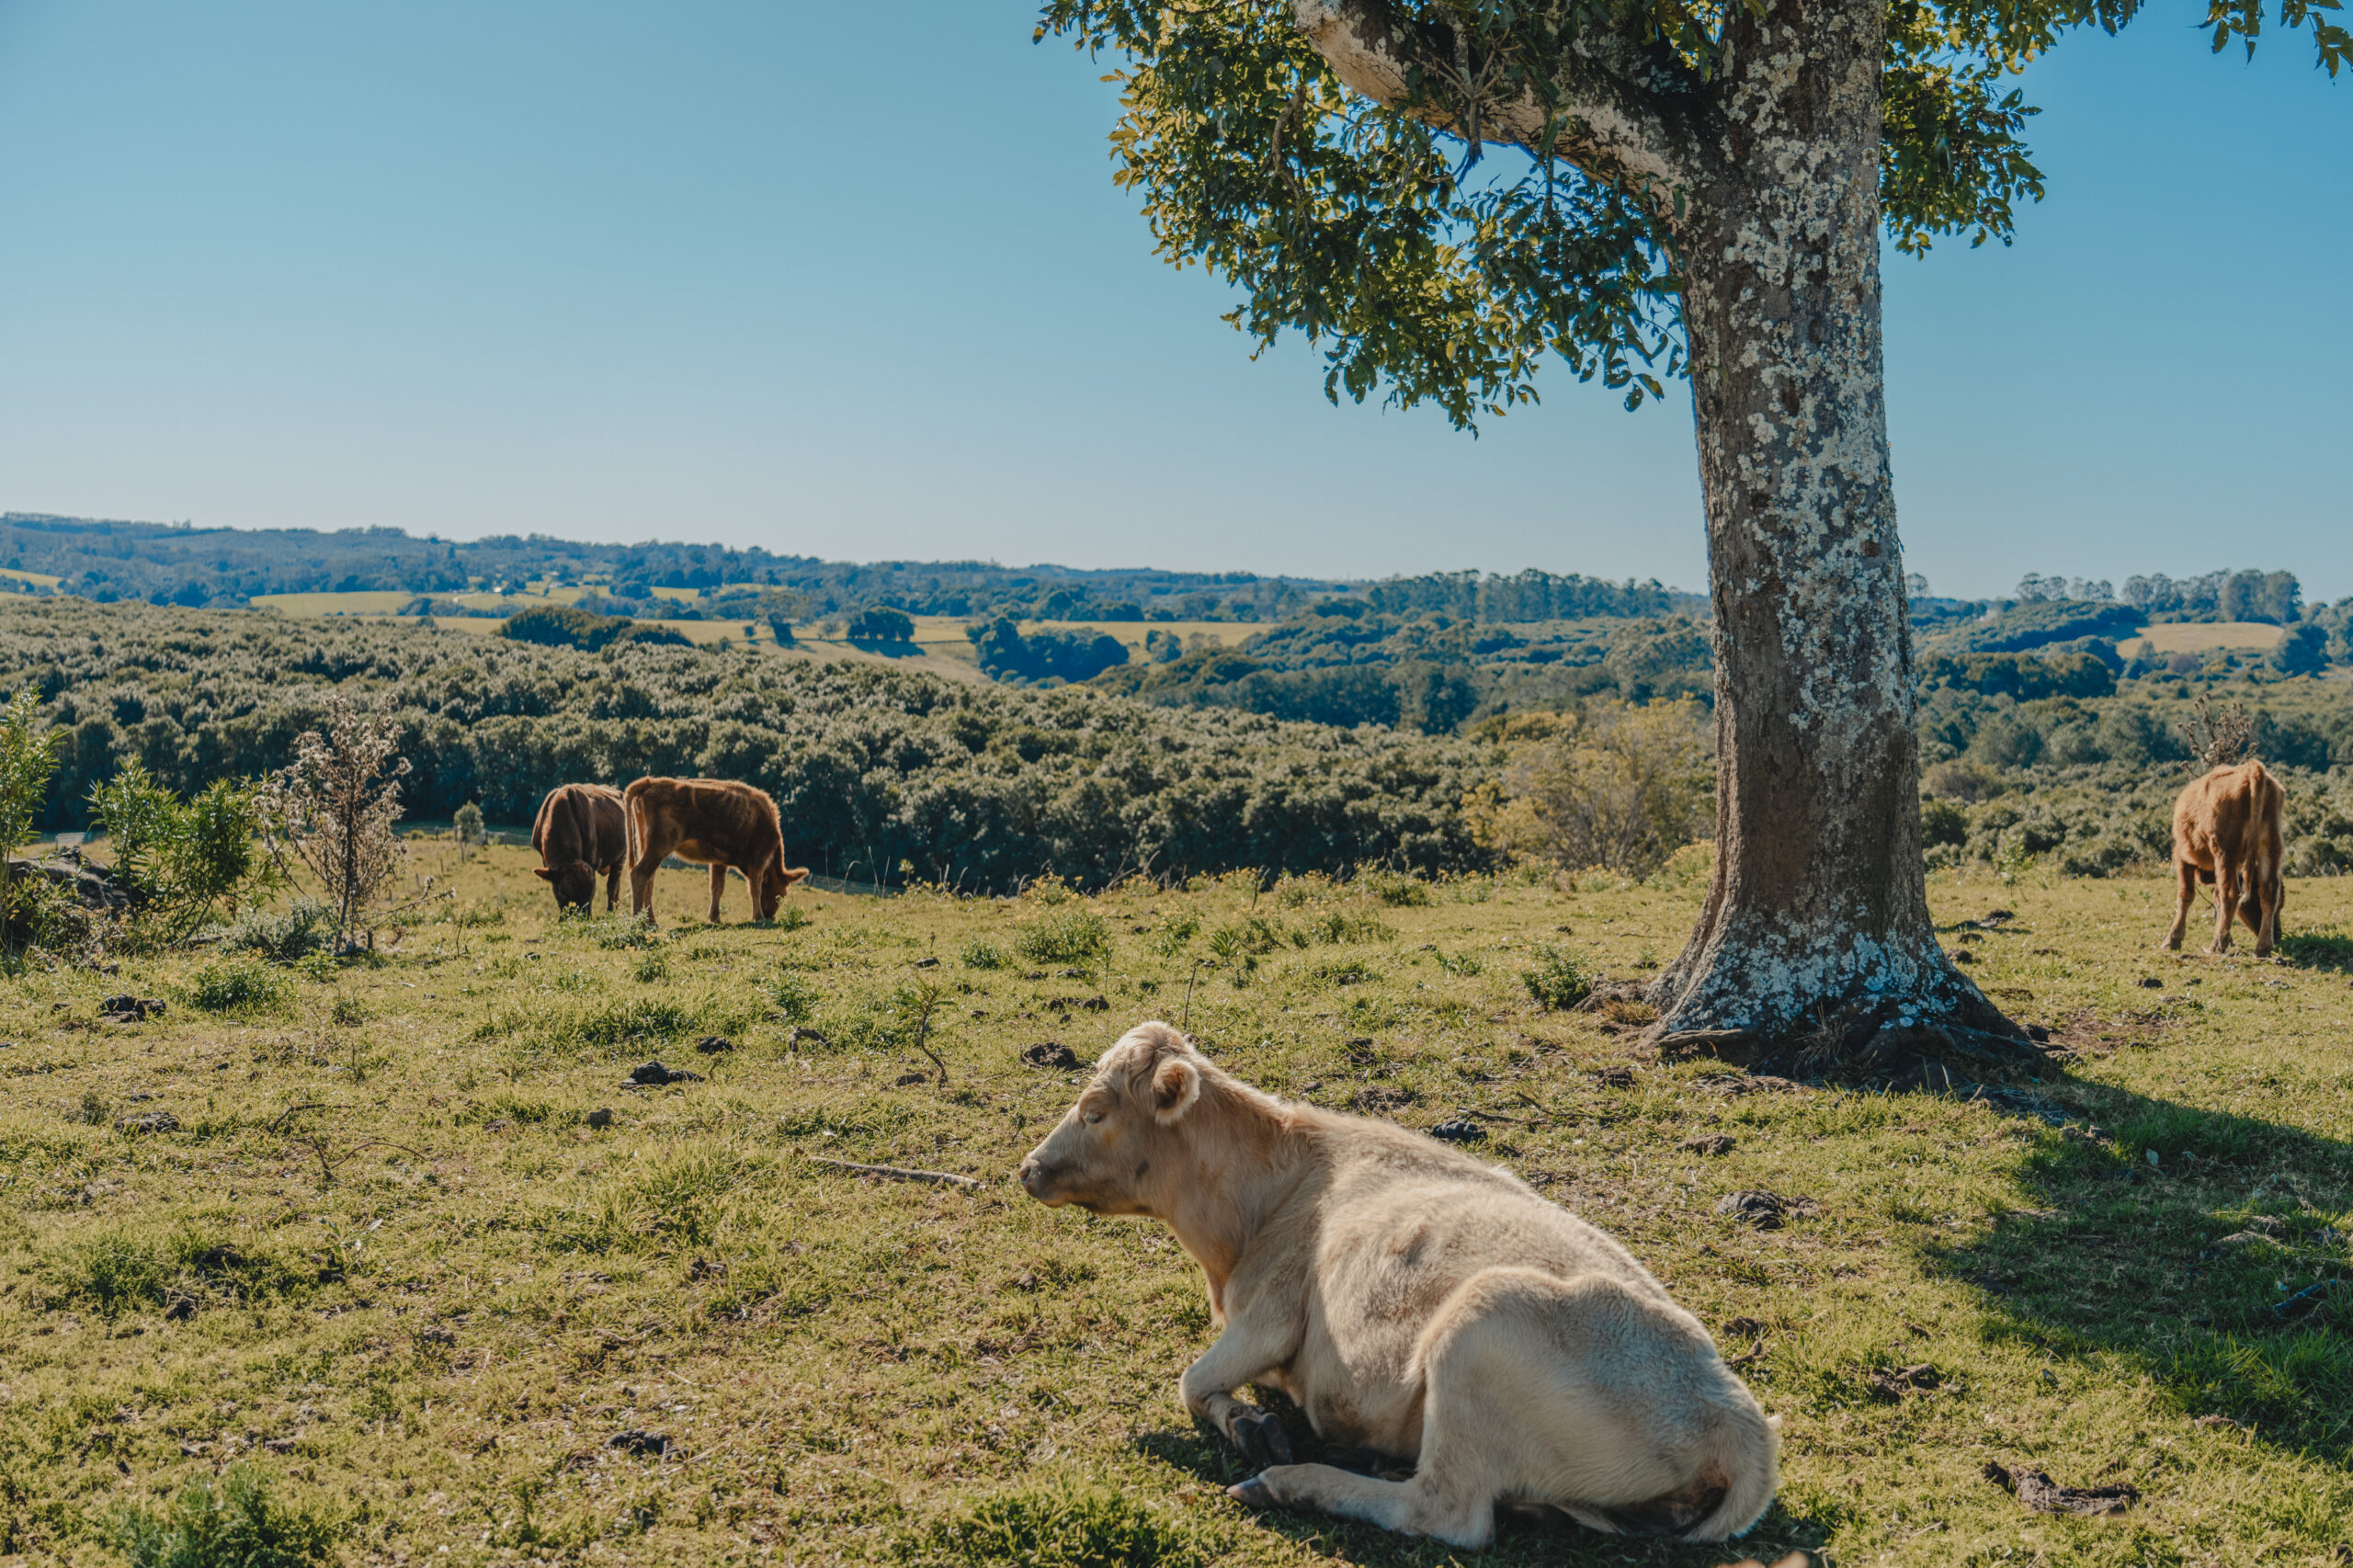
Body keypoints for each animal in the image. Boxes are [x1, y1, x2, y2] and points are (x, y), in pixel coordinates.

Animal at [531, 781, 631, 918]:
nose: (581, 918)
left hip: (621, 857)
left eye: (591, 890)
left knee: (612, 886)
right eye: (562, 891)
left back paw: (610, 914)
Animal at [620, 777, 813, 923]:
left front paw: (715, 918)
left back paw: (651, 921)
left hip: (646, 845)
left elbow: (717, 887)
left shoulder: (719, 862)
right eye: (782, 893)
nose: (770, 916)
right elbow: (755, 888)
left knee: (649, 880)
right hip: (658, 847)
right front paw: (758, 918)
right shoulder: (758, 860)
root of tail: (651, 782)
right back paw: (640, 921)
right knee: (639, 874)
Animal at [1021, 1021, 1769, 1544]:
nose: (1028, 1167)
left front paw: (1253, 1429)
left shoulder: (1270, 1314)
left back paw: (1294, 1482)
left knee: (1447, 1514)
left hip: (1479, 1325)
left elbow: (1192, 1382)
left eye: (1095, 1112)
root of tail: (1735, 1417)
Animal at [2154, 757, 2287, 950]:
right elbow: (2217, 897)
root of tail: (2251, 769)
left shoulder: (2182, 856)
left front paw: (2172, 939)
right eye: (2281, 905)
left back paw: (2217, 945)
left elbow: (2186, 895)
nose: (2278, 934)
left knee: (2231, 893)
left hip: (2226, 851)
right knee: (2268, 889)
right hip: (2270, 846)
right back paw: (2263, 947)